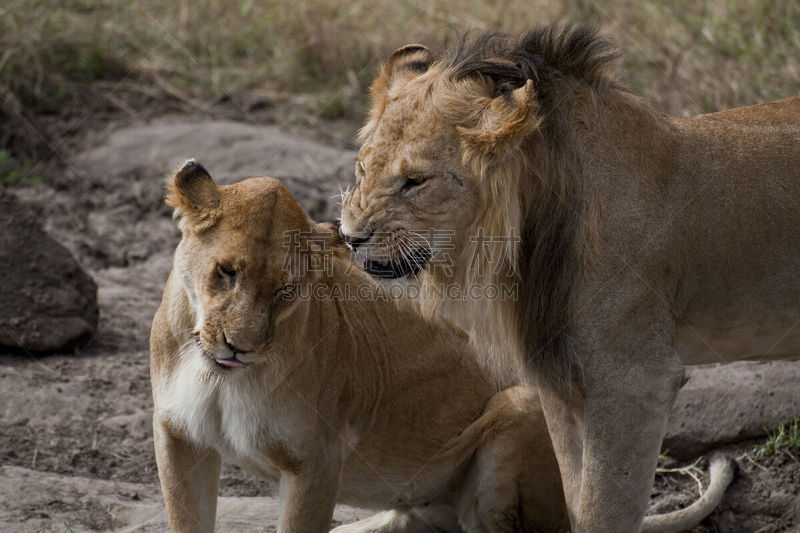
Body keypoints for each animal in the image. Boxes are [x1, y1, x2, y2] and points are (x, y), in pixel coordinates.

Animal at [150, 160, 732, 528]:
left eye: (286, 291)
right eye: (227, 272)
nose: (239, 347)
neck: (217, 376)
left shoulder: (315, 463)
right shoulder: (178, 436)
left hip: (521, 411)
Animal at [336, 25, 792, 532]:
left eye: (415, 181)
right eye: (362, 168)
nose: (349, 238)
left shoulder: (635, 381)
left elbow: (601, 512)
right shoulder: (563, 383)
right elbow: (575, 501)